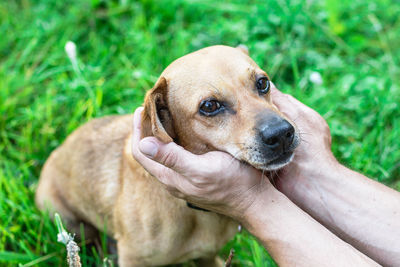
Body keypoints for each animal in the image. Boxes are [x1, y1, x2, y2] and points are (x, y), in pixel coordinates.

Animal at [36, 45, 298, 266]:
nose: (282, 134)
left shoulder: (207, 255)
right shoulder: (133, 259)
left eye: (263, 83)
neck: (197, 214)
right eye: (210, 106)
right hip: (68, 220)